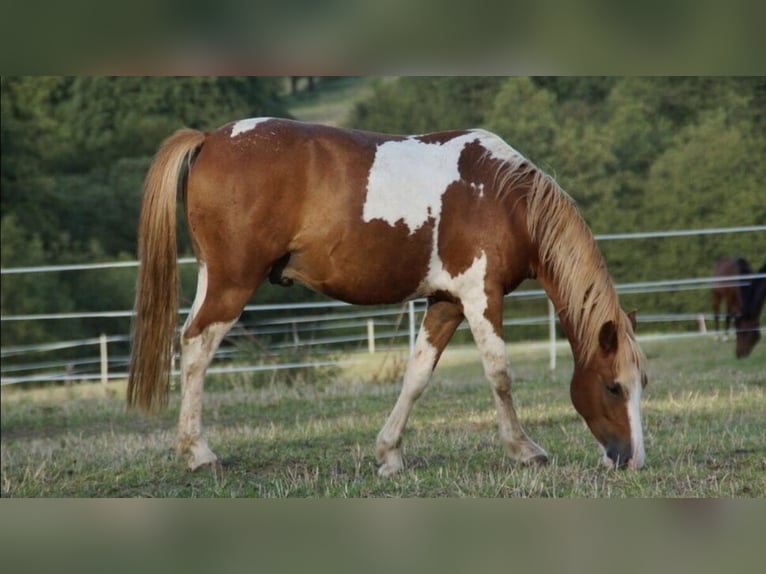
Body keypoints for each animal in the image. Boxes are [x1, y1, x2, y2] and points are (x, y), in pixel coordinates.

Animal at [128, 118, 648, 475]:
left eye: (642, 385)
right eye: (612, 386)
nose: (631, 460)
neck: (504, 198)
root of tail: (210, 138)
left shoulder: (446, 303)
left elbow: (416, 376)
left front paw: (390, 454)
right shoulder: (480, 296)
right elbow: (499, 375)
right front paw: (525, 450)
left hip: (212, 278)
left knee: (189, 340)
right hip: (233, 283)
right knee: (196, 346)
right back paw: (198, 453)